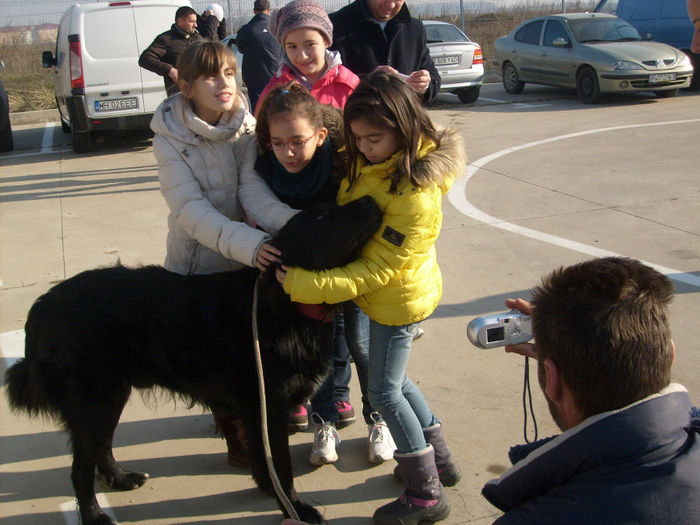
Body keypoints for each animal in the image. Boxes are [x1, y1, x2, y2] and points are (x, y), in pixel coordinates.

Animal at [4, 195, 382, 524]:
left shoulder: (256, 409)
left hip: (111, 394)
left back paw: (119, 477)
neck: (283, 300)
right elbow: (282, 466)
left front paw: (267, 488)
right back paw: (94, 514)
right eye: (321, 217)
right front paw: (294, 507)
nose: (369, 199)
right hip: (94, 397)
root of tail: (45, 304)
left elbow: (264, 460)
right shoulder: (269, 407)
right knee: (79, 468)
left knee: (101, 446)